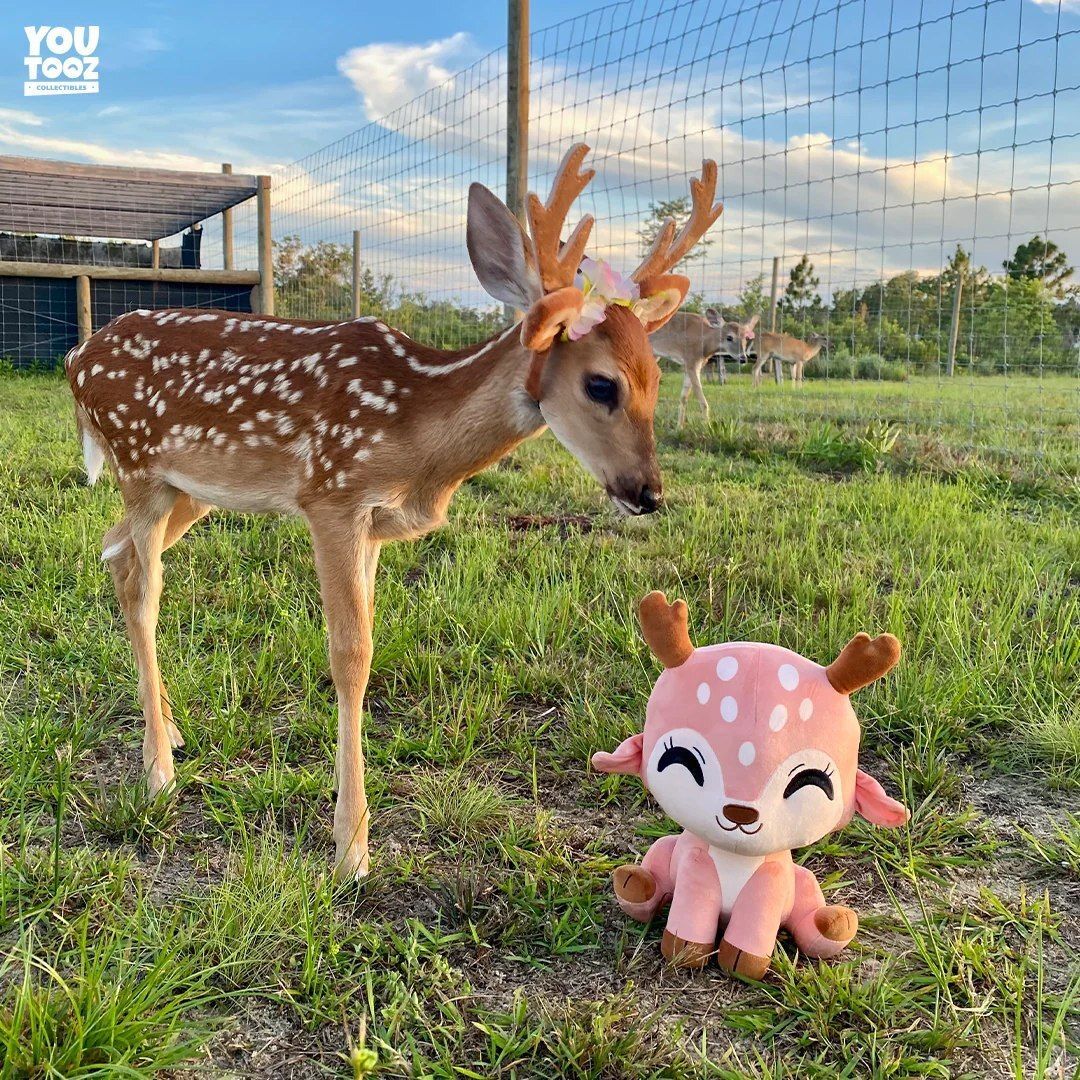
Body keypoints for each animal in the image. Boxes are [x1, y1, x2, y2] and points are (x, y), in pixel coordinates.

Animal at [65, 144, 723, 879]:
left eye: (658, 378)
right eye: (601, 383)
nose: (648, 493)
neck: (420, 443)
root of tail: (74, 356)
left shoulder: (375, 525)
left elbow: (370, 646)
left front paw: (348, 831)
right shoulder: (331, 495)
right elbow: (351, 654)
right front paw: (351, 848)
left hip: (191, 492)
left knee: (114, 550)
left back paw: (171, 731)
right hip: (140, 468)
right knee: (142, 588)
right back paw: (157, 771)